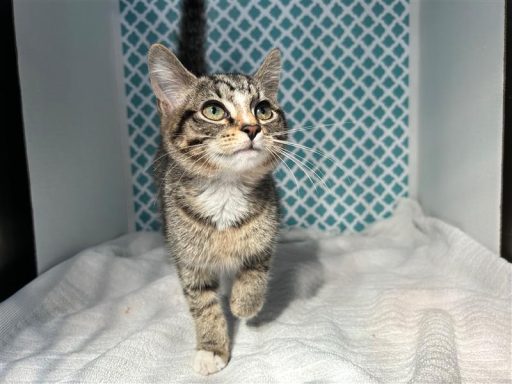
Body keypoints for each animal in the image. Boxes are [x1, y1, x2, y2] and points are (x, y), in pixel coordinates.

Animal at [147, 44, 288, 376]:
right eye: (214, 110)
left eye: (263, 109)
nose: (252, 127)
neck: (226, 190)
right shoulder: (189, 259)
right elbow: (202, 303)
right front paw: (212, 349)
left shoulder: (267, 230)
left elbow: (256, 268)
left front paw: (244, 303)